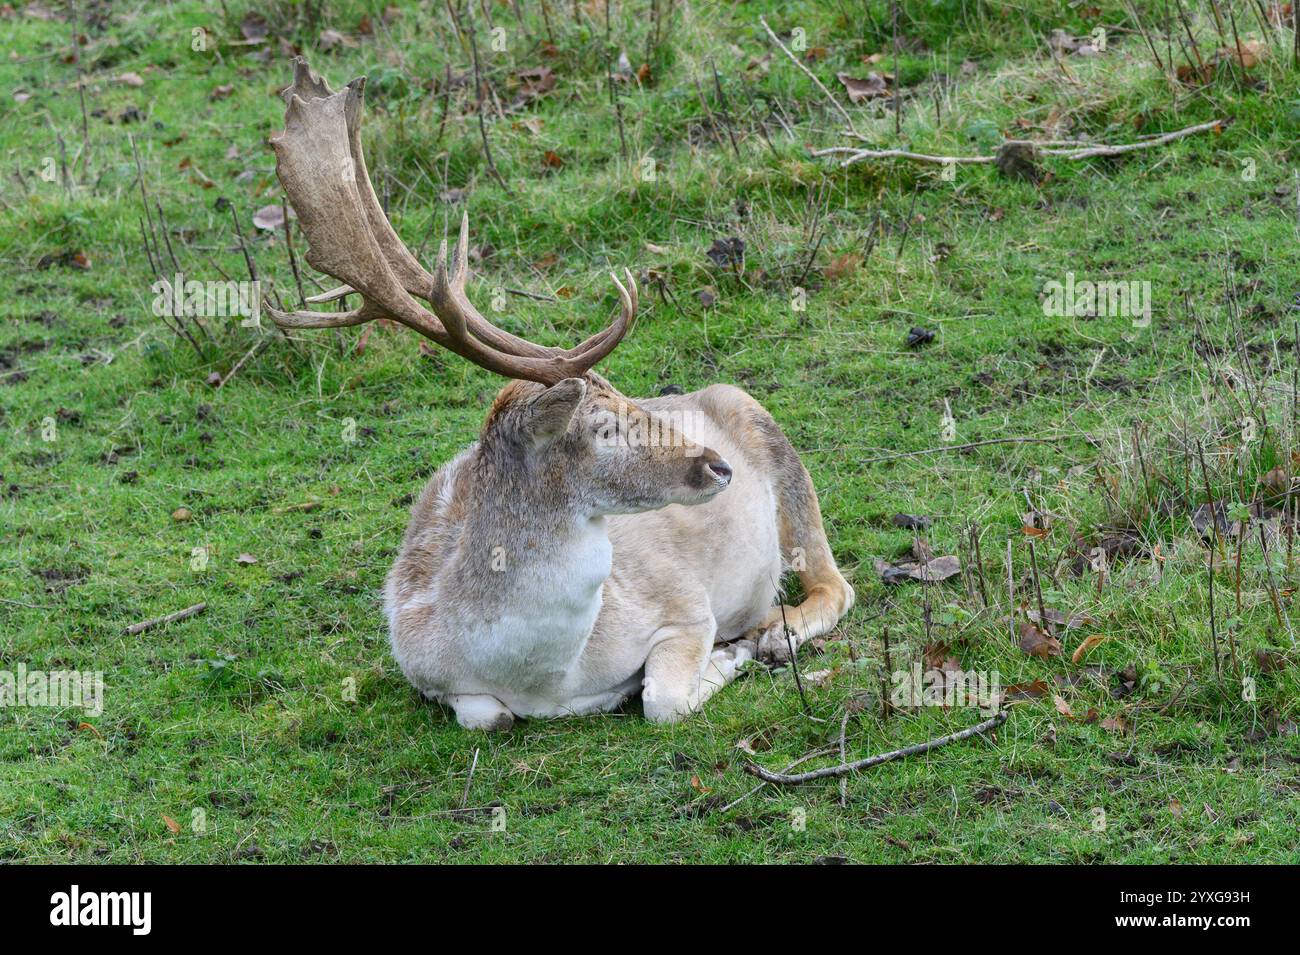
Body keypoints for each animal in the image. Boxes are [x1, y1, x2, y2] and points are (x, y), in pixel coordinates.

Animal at [265, 59, 855, 730]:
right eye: (603, 426)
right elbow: (488, 716)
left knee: (836, 580)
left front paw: (736, 653)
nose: (718, 465)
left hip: (775, 445)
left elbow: (663, 700)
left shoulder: (684, 604)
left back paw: (779, 633)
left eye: (629, 397)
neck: (546, 675)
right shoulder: (427, 674)